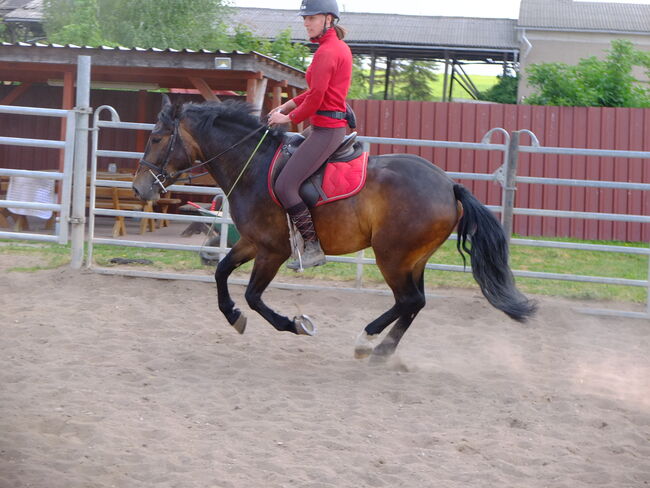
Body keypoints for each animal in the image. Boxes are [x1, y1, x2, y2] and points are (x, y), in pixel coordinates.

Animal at [130, 96, 532, 362]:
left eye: (156, 138)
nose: (139, 189)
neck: (253, 165)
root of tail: (449, 185)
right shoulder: (252, 242)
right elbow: (221, 272)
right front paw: (233, 316)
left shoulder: (273, 250)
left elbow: (254, 296)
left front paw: (294, 324)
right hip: (413, 259)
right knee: (415, 302)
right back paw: (382, 350)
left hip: (392, 256)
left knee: (408, 300)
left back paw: (366, 340)